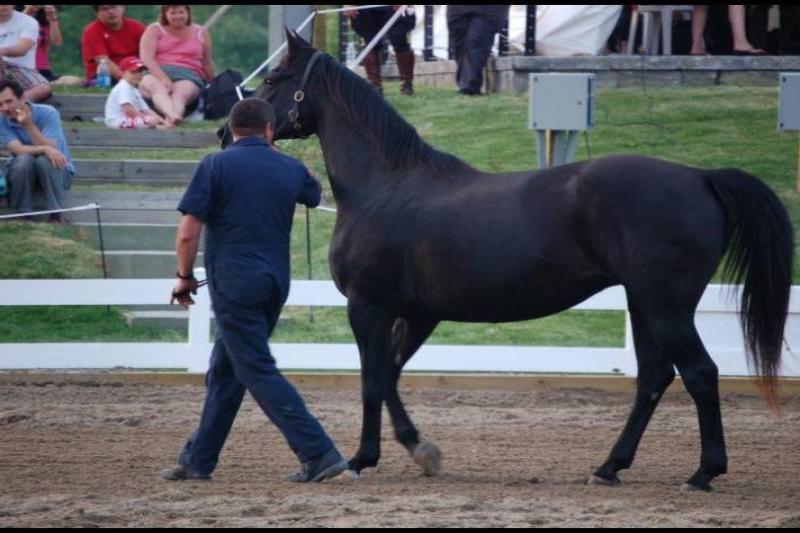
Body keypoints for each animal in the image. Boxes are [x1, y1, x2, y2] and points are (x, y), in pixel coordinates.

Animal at [228, 31, 794, 492]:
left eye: (275, 78)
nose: (227, 131)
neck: (384, 186)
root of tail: (700, 177)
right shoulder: (418, 312)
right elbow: (388, 374)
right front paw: (422, 450)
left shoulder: (369, 305)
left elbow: (370, 379)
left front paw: (364, 458)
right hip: (645, 304)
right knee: (654, 378)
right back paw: (610, 467)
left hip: (665, 306)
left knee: (699, 373)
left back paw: (702, 473)